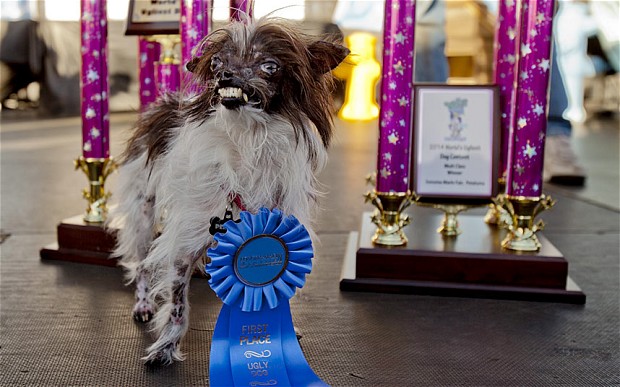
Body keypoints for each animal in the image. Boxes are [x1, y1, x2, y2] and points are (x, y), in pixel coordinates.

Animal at [108, 15, 346, 366]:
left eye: (270, 65)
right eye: (217, 62)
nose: (225, 75)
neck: (249, 138)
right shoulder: (184, 242)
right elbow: (178, 306)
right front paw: (165, 348)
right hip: (143, 214)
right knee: (141, 264)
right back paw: (143, 305)